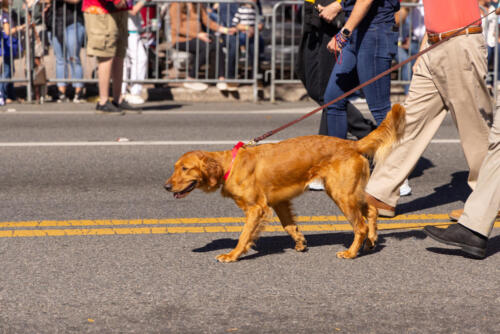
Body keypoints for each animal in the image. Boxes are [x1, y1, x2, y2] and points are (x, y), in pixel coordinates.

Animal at [165, 103, 406, 260]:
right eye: (175, 167)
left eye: (185, 168)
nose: (166, 186)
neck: (229, 165)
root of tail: (352, 144)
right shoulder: (278, 201)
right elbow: (289, 225)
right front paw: (300, 242)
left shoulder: (256, 208)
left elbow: (244, 235)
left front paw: (232, 255)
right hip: (350, 192)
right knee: (372, 211)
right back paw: (371, 242)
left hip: (342, 194)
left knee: (360, 226)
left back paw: (351, 252)